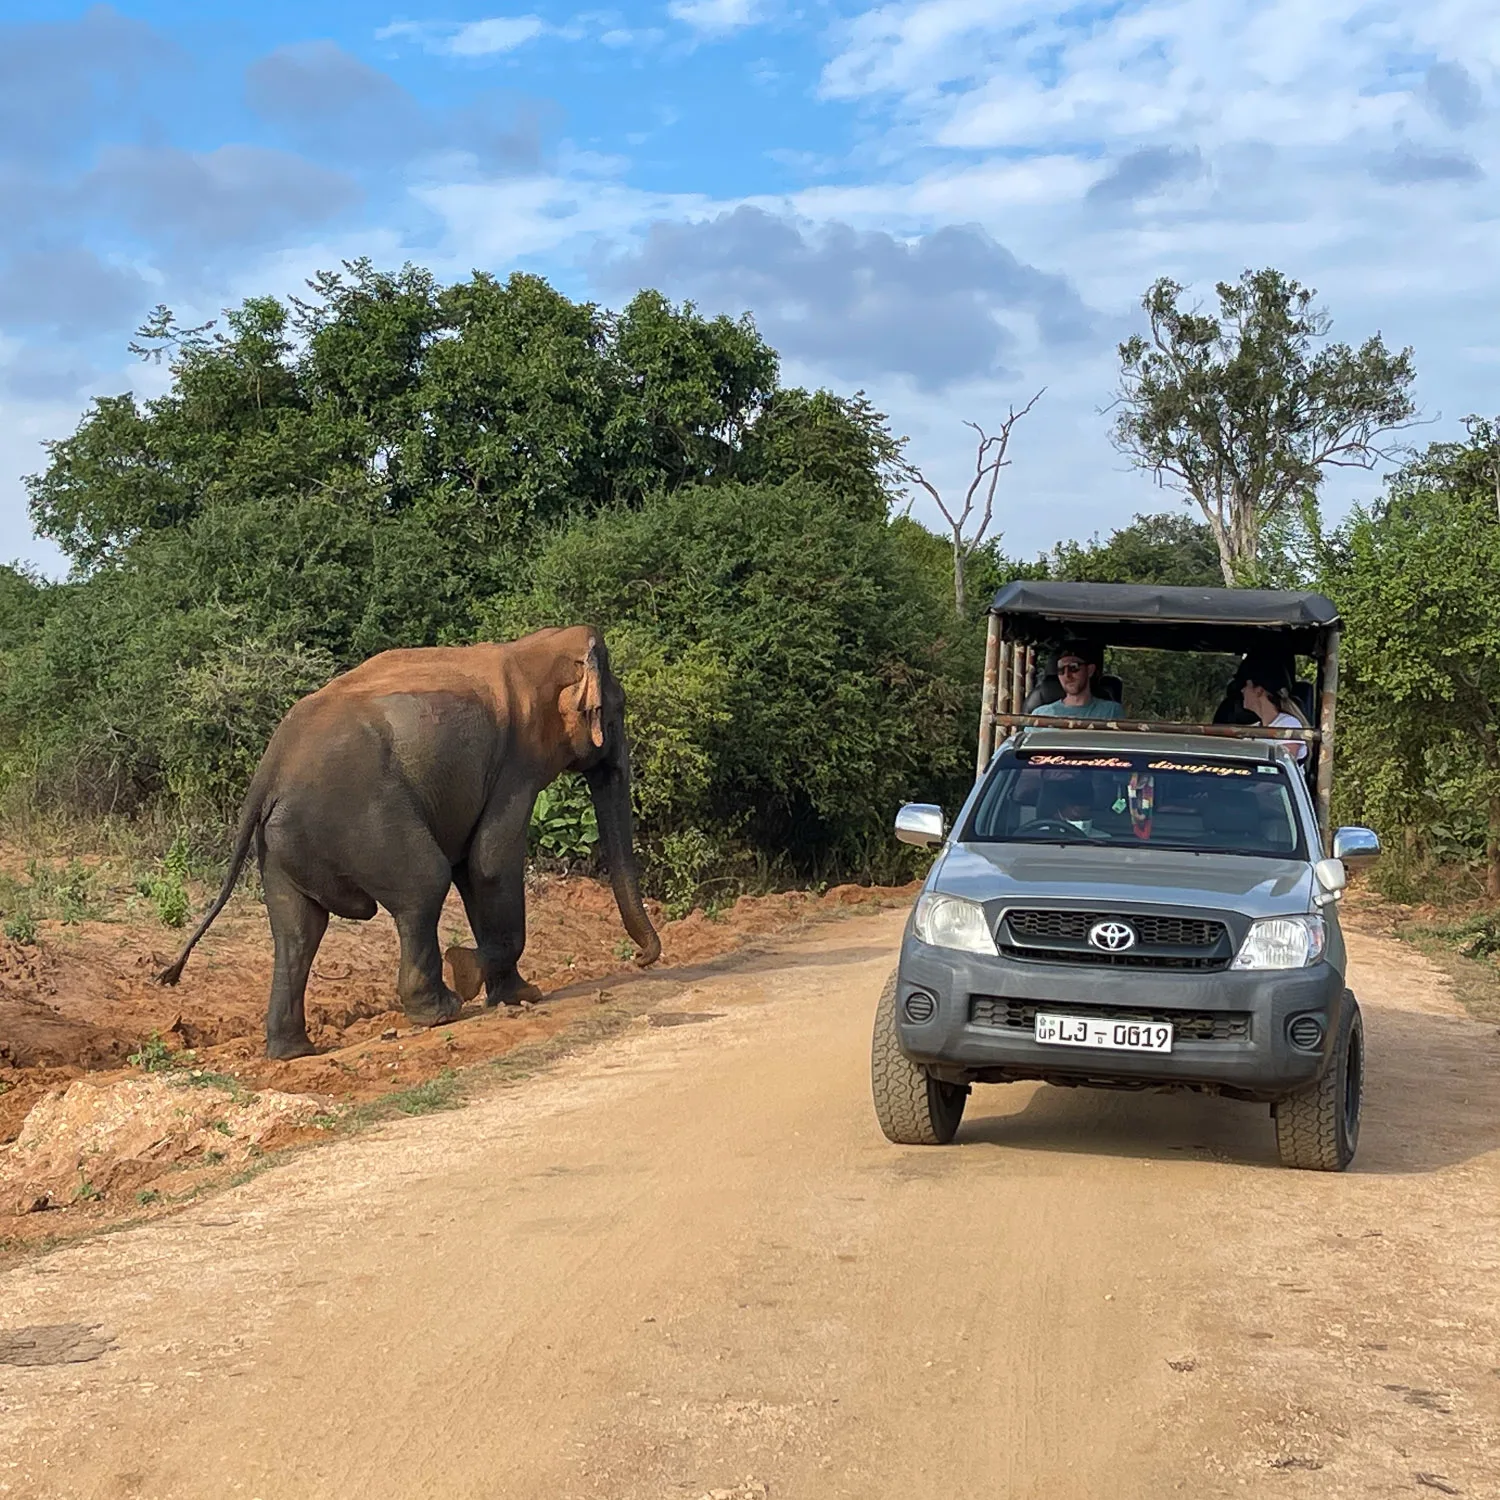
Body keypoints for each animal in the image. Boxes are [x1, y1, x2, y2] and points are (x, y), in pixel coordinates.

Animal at [156, 627, 663, 1062]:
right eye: (616, 711)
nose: (641, 959)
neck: (533, 648)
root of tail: (269, 768)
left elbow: (472, 868)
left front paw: (518, 995)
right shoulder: (515, 767)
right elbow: (490, 863)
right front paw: (474, 973)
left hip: (281, 842)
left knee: (298, 929)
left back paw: (293, 1051)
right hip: (362, 816)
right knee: (424, 884)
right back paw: (441, 1010)